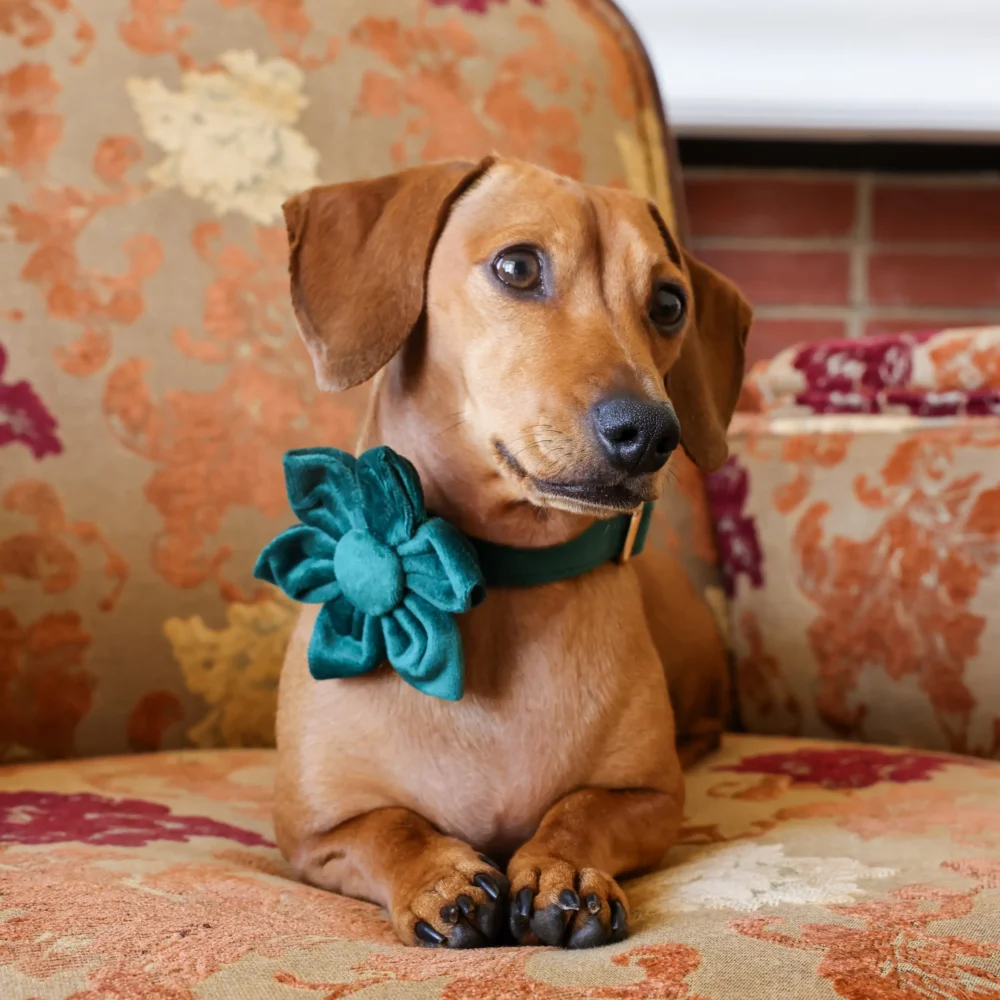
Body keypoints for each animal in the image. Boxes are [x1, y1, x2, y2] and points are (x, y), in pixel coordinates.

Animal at [274, 158, 752, 952]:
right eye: (518, 266)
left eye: (668, 302)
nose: (651, 432)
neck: (493, 571)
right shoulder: (314, 834)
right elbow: (392, 826)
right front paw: (441, 877)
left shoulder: (650, 800)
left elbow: (582, 809)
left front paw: (563, 868)